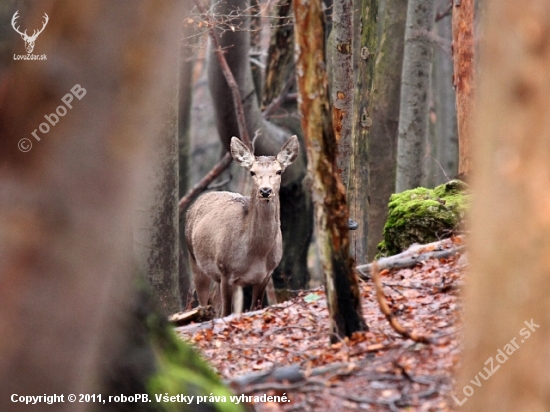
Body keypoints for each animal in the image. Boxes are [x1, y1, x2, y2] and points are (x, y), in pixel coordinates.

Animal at [189, 135, 302, 316]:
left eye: (279, 171)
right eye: (252, 172)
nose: (265, 191)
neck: (256, 254)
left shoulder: (266, 275)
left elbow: (253, 307)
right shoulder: (226, 270)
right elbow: (226, 313)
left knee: (214, 303)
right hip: (195, 260)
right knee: (204, 304)